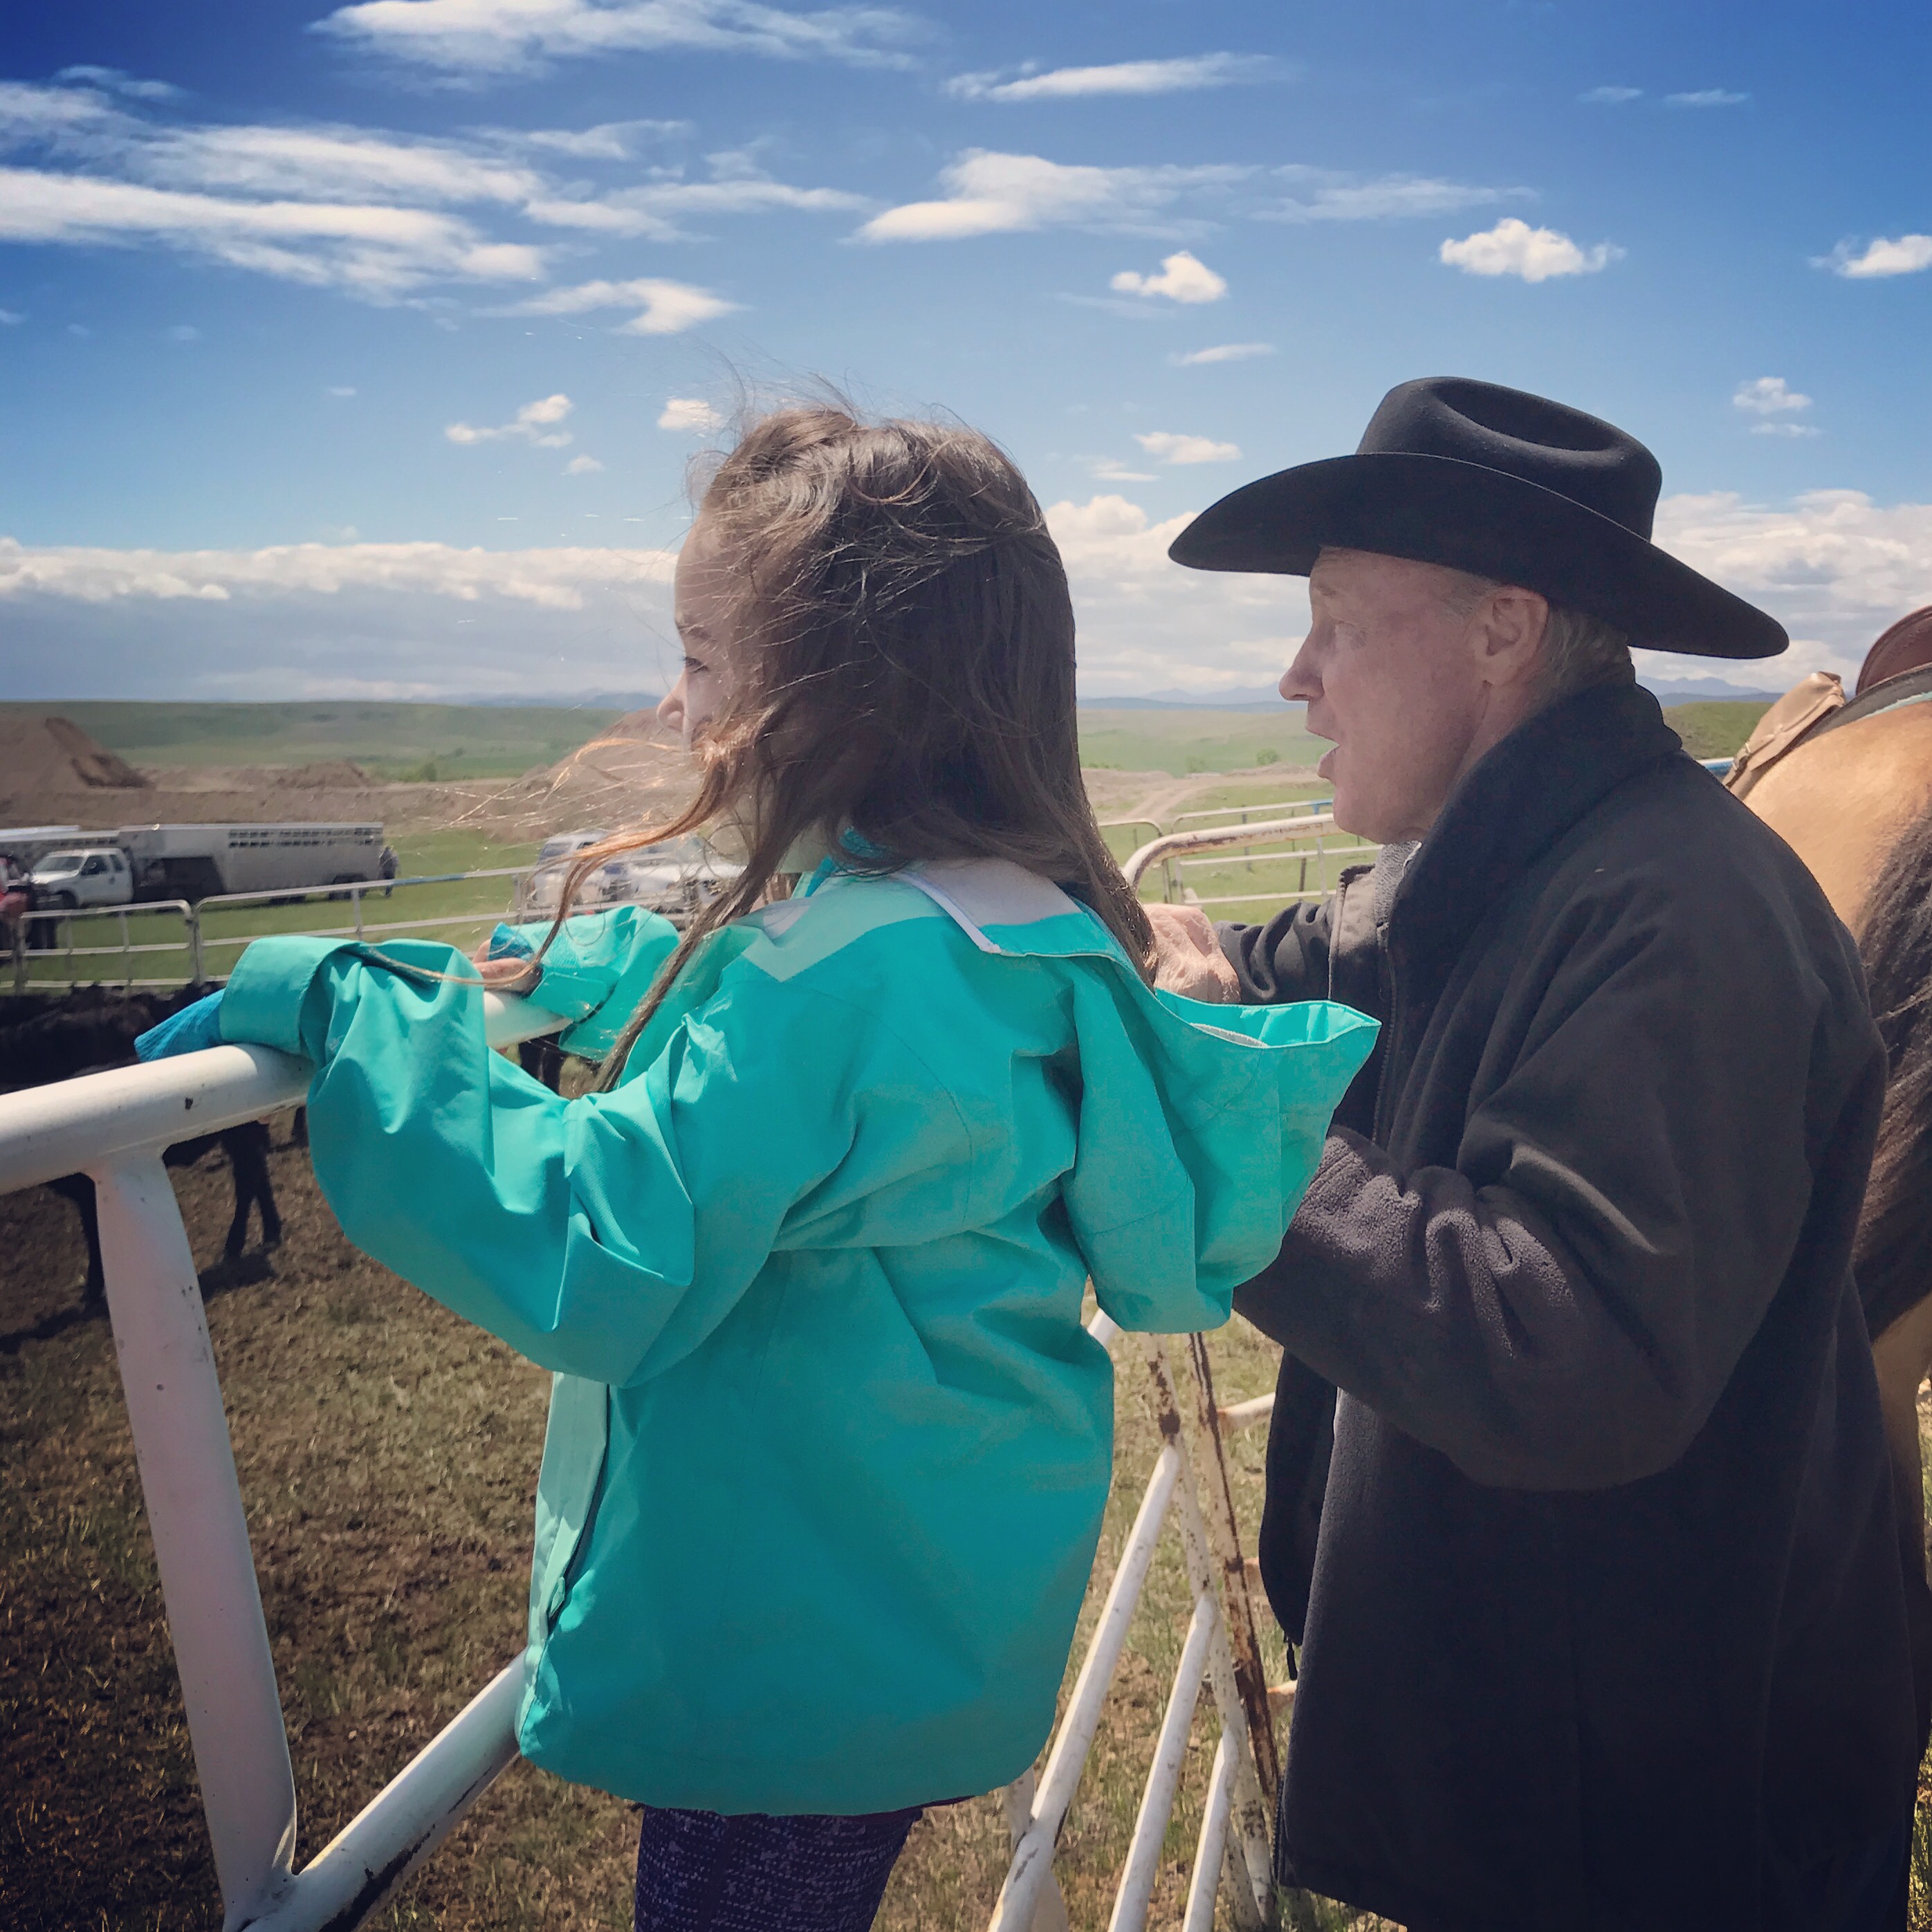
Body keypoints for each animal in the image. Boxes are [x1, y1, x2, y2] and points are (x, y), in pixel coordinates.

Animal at [0, 986, 284, 1307]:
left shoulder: (87, 1190)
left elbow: (94, 1238)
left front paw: (93, 1291)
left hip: (241, 1134)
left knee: (248, 1179)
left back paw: (239, 1243)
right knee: (255, 1175)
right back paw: (268, 1233)